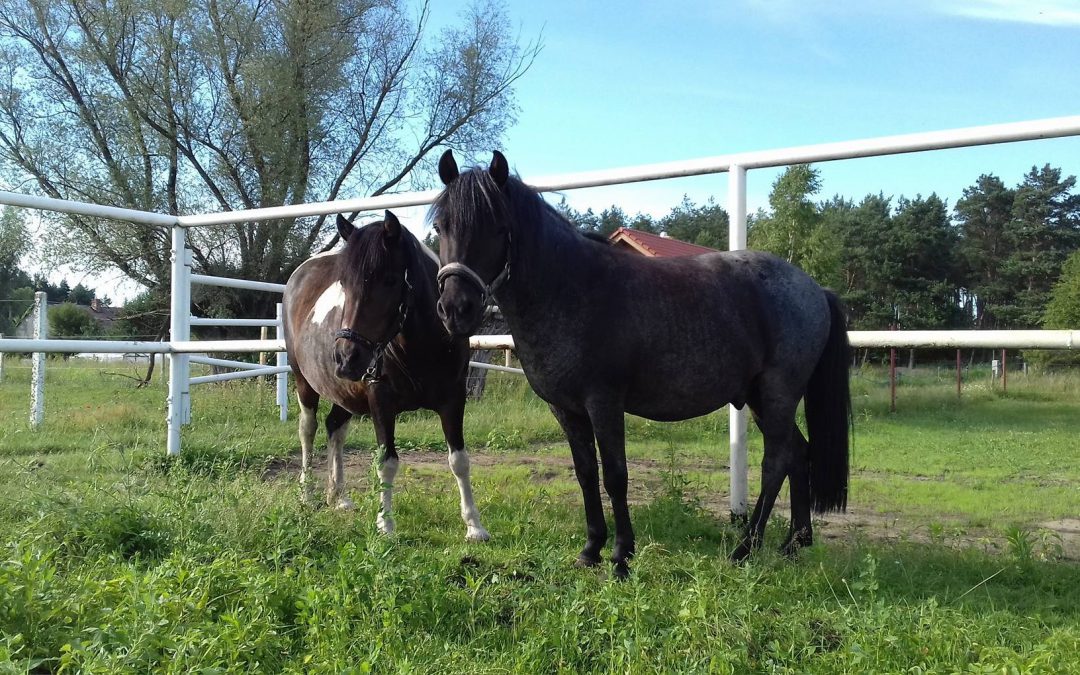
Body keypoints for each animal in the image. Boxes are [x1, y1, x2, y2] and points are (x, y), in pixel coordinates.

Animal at [285, 210, 492, 542]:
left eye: (390, 280)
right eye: (344, 283)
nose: (346, 357)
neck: (424, 348)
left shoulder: (454, 399)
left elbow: (459, 460)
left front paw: (474, 525)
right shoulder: (380, 401)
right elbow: (387, 461)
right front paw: (386, 524)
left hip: (344, 393)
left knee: (335, 429)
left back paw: (338, 496)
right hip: (304, 382)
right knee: (308, 429)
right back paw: (307, 494)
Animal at [434, 151, 846, 574]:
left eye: (499, 228)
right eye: (439, 226)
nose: (455, 309)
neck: (571, 289)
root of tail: (815, 288)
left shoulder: (604, 402)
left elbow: (616, 475)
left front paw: (621, 556)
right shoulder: (565, 409)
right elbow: (586, 473)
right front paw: (590, 550)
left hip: (778, 392)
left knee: (776, 461)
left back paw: (745, 548)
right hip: (760, 398)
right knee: (798, 453)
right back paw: (794, 542)